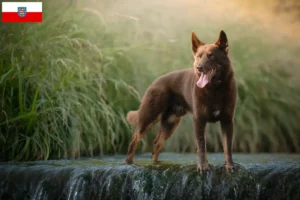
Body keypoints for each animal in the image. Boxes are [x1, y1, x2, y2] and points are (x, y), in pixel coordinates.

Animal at [123, 29, 237, 172]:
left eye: (211, 56)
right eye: (199, 56)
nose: (199, 67)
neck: (215, 89)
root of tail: (155, 81)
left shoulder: (227, 121)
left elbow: (228, 147)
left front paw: (230, 166)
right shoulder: (199, 121)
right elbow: (202, 147)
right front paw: (203, 166)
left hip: (170, 123)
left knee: (157, 143)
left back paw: (156, 164)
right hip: (149, 117)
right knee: (135, 138)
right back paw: (128, 163)